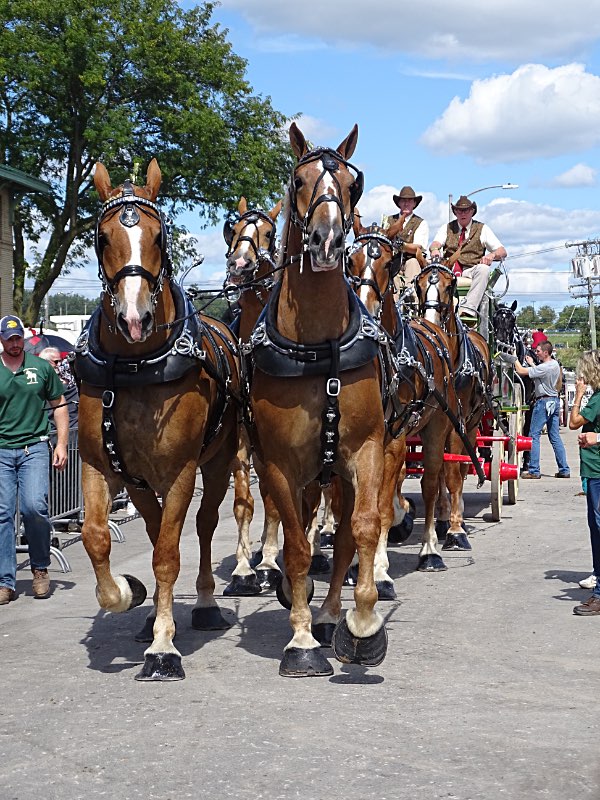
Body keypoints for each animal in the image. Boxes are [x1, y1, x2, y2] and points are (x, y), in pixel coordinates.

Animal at [76, 161, 240, 680]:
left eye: (159, 236)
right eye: (102, 237)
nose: (135, 318)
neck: (134, 367)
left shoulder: (181, 471)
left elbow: (169, 554)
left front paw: (164, 646)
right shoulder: (100, 466)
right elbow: (96, 538)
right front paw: (128, 594)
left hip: (219, 462)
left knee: (205, 526)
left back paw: (204, 603)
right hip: (142, 482)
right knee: (150, 531)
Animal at [346, 216, 460, 584]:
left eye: (388, 262)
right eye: (350, 261)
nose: (365, 309)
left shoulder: (393, 441)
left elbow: (381, 507)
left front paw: (379, 570)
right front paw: (355, 566)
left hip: (438, 427)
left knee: (431, 483)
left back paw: (430, 550)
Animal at [412, 260, 492, 540]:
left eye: (450, 286)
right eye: (418, 285)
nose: (430, 323)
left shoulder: (458, 423)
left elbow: (454, 473)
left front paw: (457, 528)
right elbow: (439, 472)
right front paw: (444, 517)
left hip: (474, 421)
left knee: (464, 465)